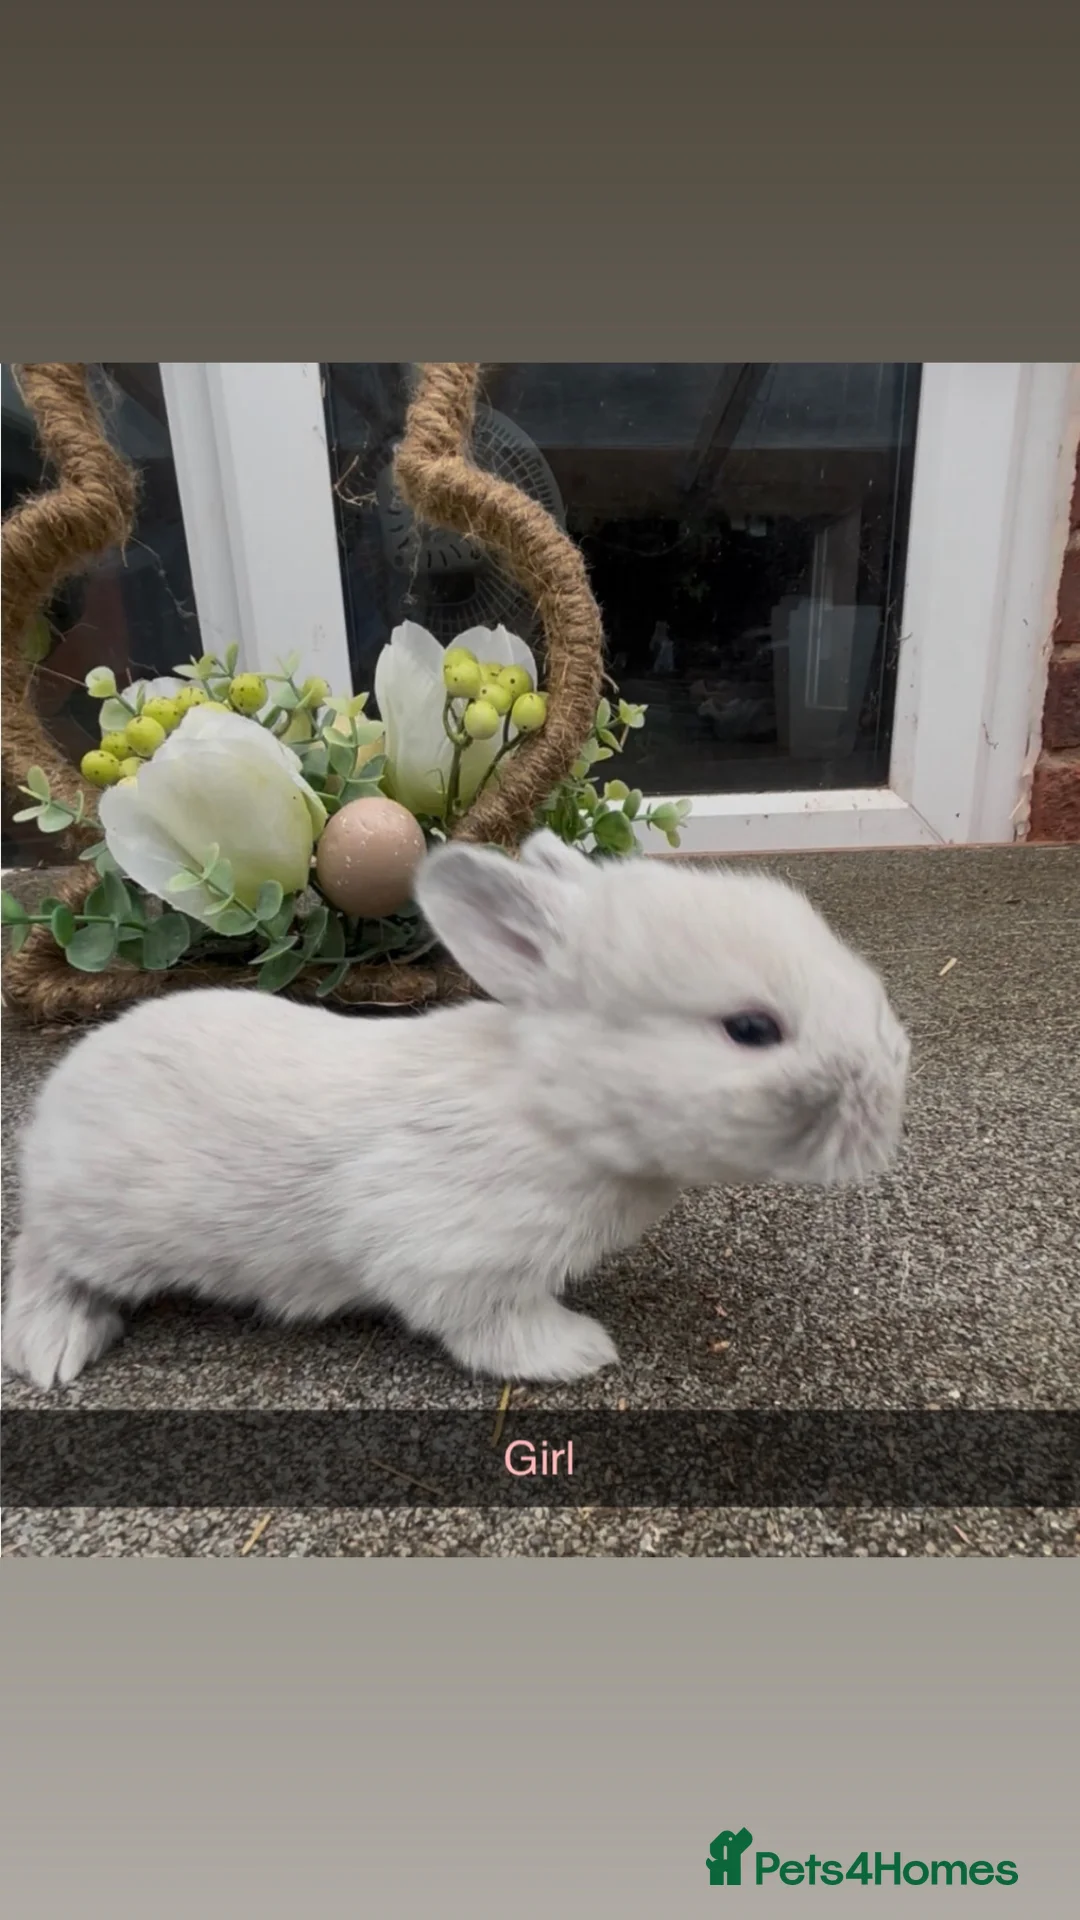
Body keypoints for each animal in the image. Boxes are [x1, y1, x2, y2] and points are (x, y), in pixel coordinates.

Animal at [2, 830, 909, 1391]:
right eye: (751, 1029)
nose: (893, 1074)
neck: (553, 1112)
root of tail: (55, 1110)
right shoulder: (458, 1265)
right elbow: (496, 1329)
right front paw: (581, 1352)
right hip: (98, 1230)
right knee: (38, 1258)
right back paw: (54, 1347)